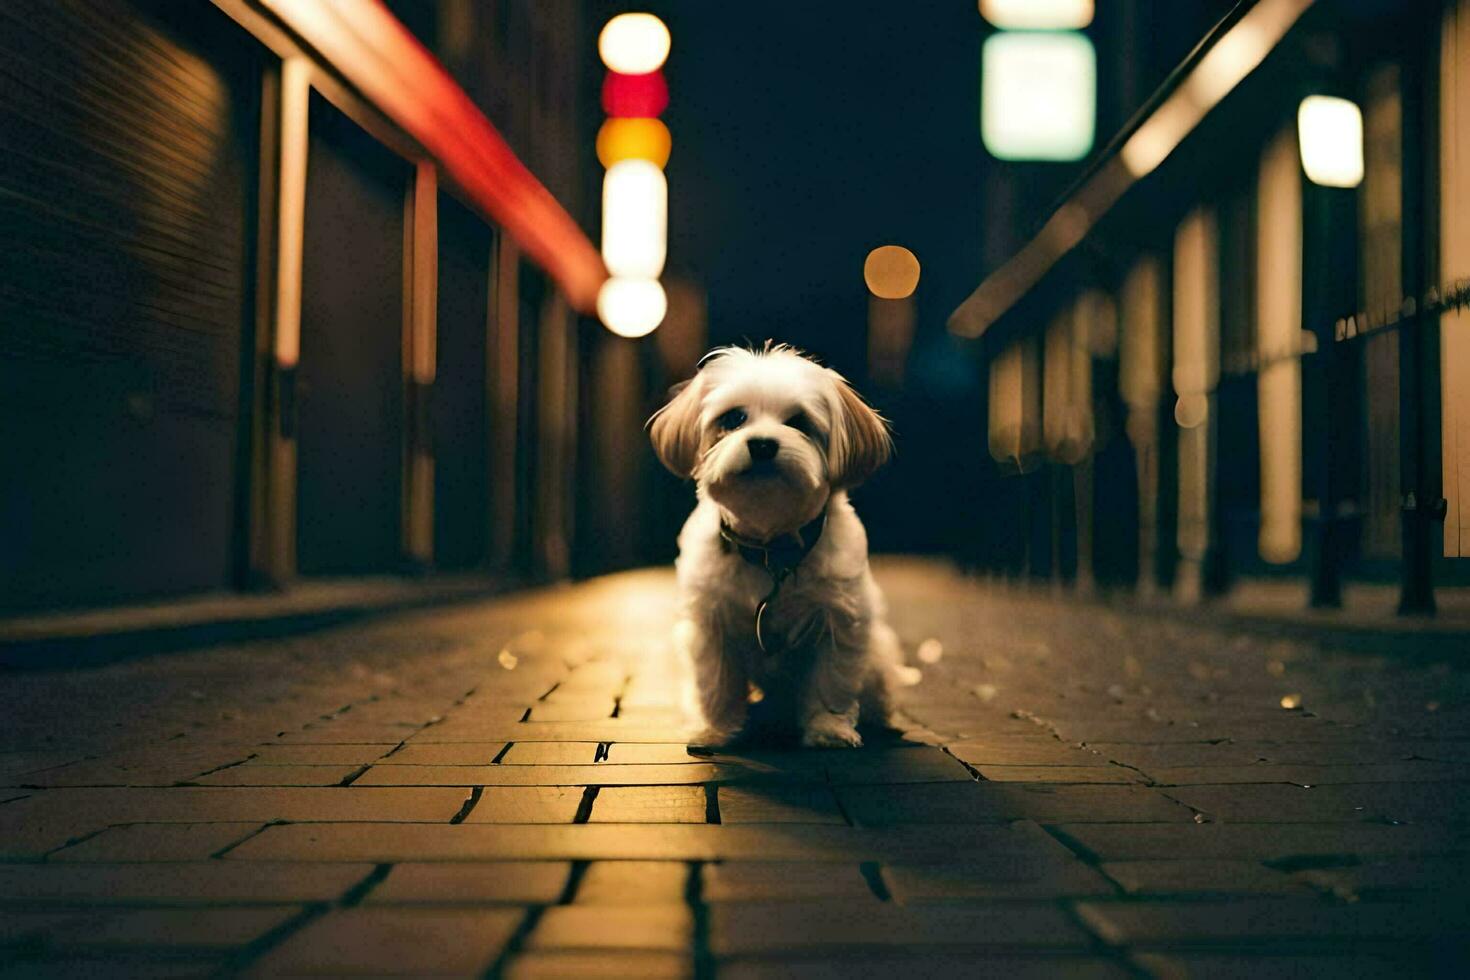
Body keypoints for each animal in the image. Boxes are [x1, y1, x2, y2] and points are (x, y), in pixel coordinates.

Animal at [649, 345, 899, 752]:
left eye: (799, 422)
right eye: (734, 418)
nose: (763, 443)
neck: (770, 551)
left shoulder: (840, 622)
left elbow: (832, 680)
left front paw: (829, 729)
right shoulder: (711, 623)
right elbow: (716, 683)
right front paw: (715, 729)